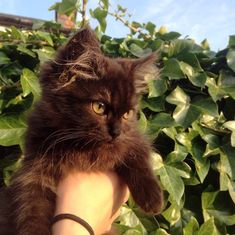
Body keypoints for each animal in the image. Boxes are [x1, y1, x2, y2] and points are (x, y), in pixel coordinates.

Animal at [0, 28, 162, 235]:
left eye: (127, 114)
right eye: (99, 107)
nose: (116, 132)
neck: (83, 148)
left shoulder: (132, 136)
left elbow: (138, 154)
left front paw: (153, 197)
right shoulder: (33, 172)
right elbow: (31, 212)